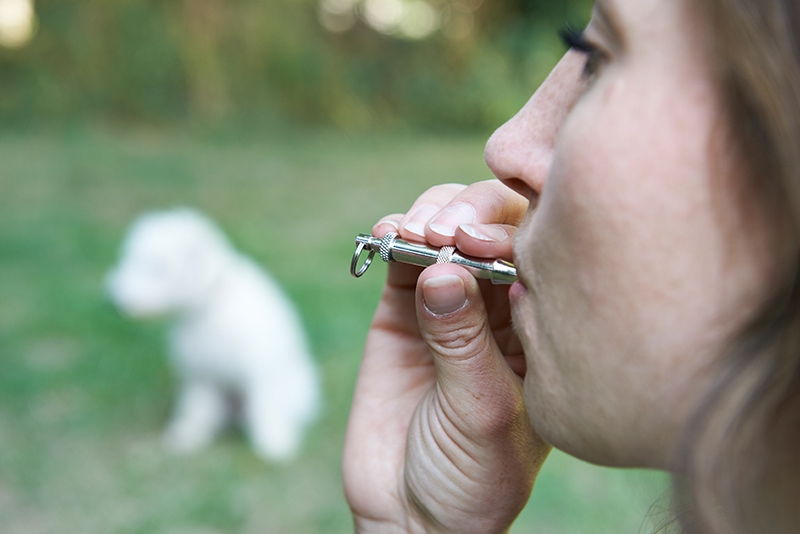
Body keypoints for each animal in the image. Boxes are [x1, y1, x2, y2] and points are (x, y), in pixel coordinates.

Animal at [105, 209, 318, 464]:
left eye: (156, 269)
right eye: (131, 261)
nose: (116, 301)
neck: (208, 310)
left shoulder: (258, 372)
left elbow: (266, 408)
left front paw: (273, 443)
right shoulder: (201, 373)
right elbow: (197, 410)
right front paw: (188, 436)